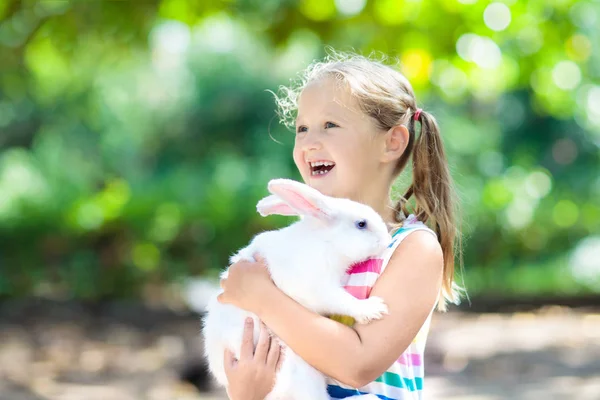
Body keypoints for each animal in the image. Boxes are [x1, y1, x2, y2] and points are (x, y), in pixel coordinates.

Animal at [202, 179, 390, 400]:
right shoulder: (318, 289)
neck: (327, 243)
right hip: (301, 371)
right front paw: (373, 309)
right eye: (361, 224)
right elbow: (343, 300)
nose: (386, 239)